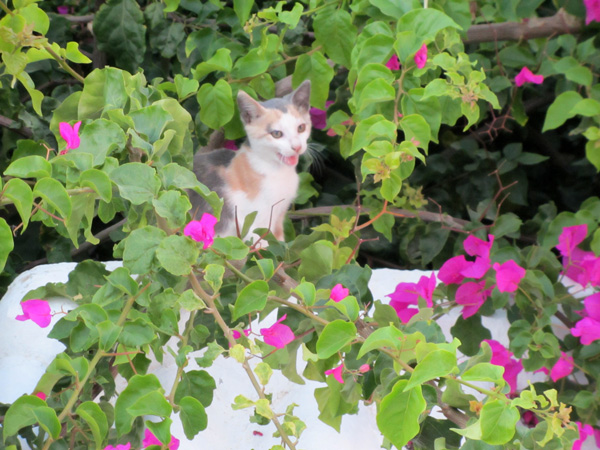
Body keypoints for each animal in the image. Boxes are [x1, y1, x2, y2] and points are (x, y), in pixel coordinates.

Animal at [190, 80, 312, 243]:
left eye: (301, 128)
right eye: (276, 134)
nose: (297, 146)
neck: (276, 171)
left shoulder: (278, 219)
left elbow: (279, 244)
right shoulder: (252, 223)